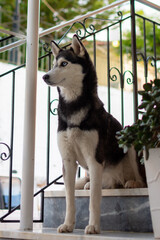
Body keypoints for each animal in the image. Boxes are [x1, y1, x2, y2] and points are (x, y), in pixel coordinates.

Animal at [42, 35, 144, 234]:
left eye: (64, 64)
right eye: (53, 65)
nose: (45, 76)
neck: (73, 107)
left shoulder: (94, 159)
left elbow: (94, 200)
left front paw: (94, 226)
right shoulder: (68, 162)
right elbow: (70, 199)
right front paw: (68, 224)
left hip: (130, 141)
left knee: (141, 180)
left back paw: (133, 183)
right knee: (97, 184)